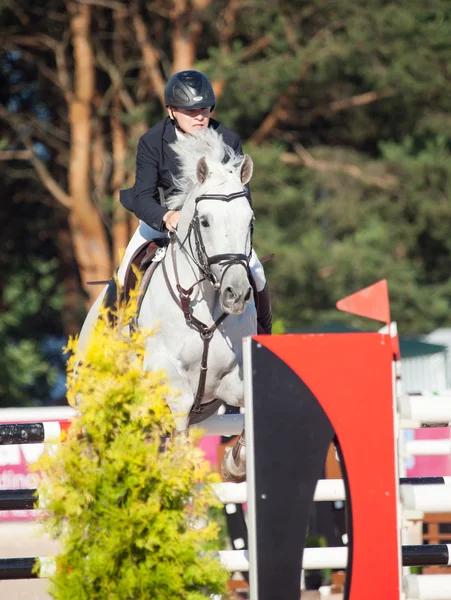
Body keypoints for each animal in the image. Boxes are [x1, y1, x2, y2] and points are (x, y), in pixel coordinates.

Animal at [78, 129, 256, 480]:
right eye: (205, 222)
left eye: (250, 221)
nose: (236, 293)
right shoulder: (162, 368)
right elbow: (182, 404)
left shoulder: (230, 378)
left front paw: (235, 464)